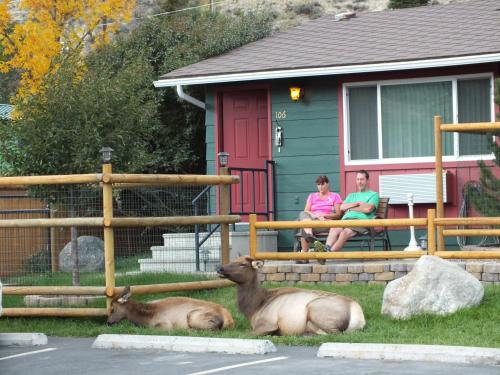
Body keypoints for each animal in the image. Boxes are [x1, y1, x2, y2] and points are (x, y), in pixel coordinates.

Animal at [217, 258, 366, 336]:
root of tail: (359, 316)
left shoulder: (268, 323)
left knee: (333, 333)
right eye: (233, 259)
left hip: (315, 308)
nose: (220, 268)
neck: (253, 308)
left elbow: (244, 333)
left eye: (242, 264)